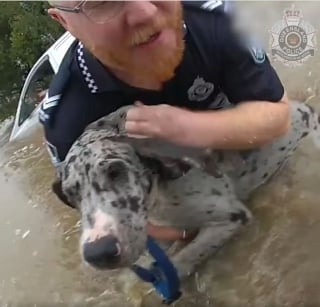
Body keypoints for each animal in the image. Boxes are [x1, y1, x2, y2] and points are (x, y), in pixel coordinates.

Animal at [54, 101, 320, 280]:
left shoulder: (230, 218)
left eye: (115, 170)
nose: (98, 252)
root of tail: (307, 108)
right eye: (70, 194)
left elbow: (182, 261)